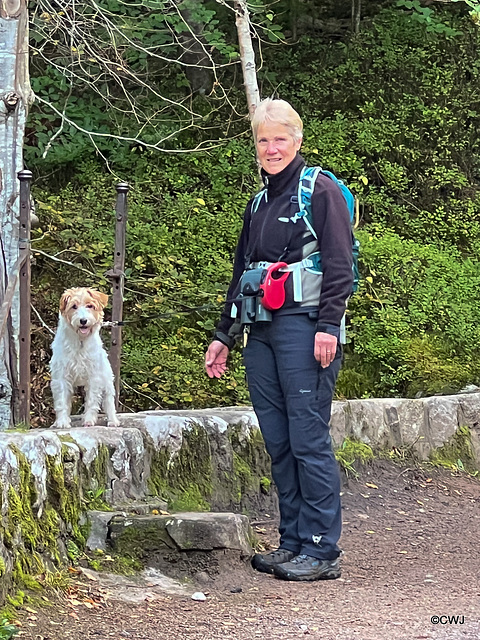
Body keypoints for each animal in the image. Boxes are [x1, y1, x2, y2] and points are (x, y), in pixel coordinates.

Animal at [50, 286, 120, 428]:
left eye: (90, 305)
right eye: (74, 306)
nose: (83, 321)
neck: (80, 340)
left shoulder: (94, 377)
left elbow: (92, 401)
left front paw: (88, 420)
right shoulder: (61, 376)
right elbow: (61, 401)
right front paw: (62, 422)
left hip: (107, 381)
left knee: (109, 402)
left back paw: (113, 421)